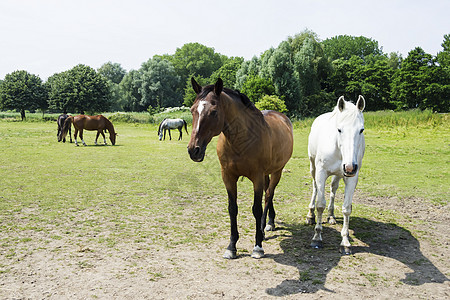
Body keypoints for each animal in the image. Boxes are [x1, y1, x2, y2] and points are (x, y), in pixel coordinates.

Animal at [187, 77, 296, 258]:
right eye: (192, 110)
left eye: (214, 112)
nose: (193, 150)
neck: (241, 140)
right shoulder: (228, 177)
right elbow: (232, 209)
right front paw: (231, 246)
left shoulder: (257, 177)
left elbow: (257, 209)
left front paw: (257, 246)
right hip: (267, 174)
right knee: (269, 193)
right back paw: (269, 223)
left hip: (277, 171)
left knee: (269, 195)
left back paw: (264, 228)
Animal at [306, 95, 366, 254]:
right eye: (339, 129)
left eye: (361, 130)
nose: (350, 167)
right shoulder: (321, 172)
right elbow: (320, 204)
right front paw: (317, 238)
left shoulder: (352, 177)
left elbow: (346, 209)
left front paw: (345, 242)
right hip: (313, 167)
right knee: (315, 188)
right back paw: (310, 215)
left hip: (339, 174)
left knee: (333, 188)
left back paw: (331, 215)